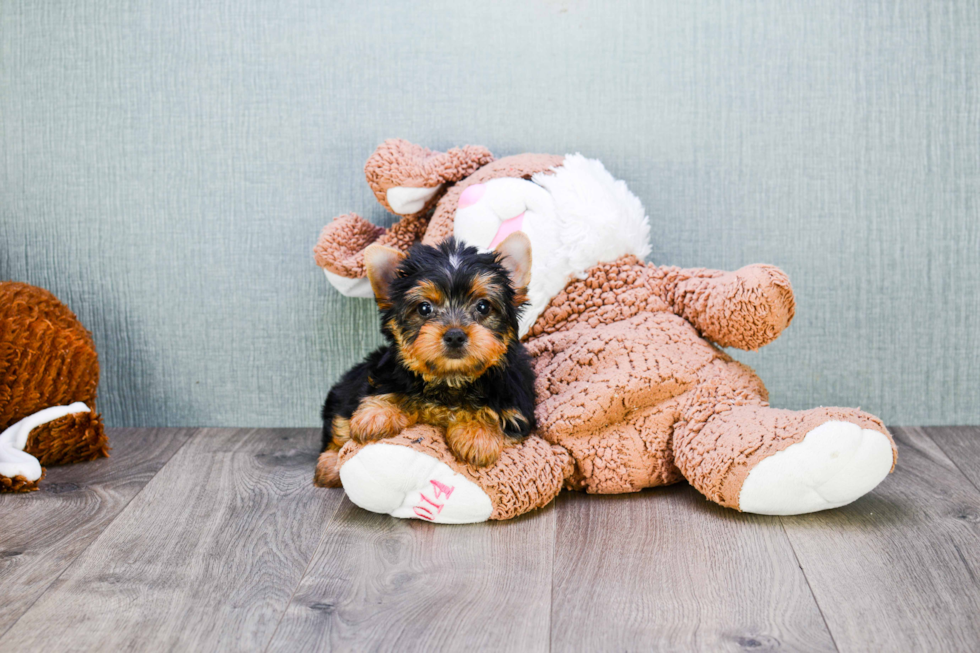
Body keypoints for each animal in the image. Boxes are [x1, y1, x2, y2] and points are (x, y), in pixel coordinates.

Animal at [316, 232, 536, 486]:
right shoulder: (385, 375)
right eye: (424, 308)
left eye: (483, 306)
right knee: (338, 425)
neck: (451, 379)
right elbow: (387, 392)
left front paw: (478, 434)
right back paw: (330, 464)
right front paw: (377, 414)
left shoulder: (516, 408)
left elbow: (493, 413)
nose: (455, 335)